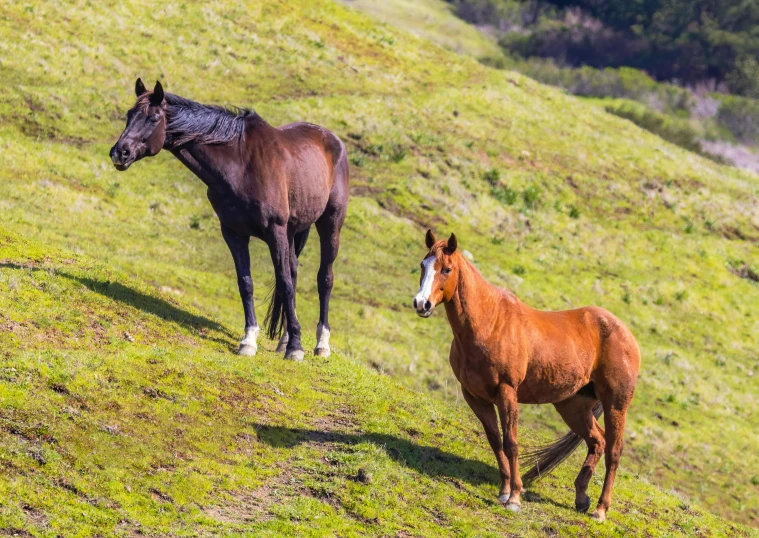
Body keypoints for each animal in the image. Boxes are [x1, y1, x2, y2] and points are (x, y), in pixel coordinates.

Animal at [110, 79, 350, 360]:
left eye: (153, 118)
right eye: (129, 115)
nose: (120, 152)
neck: (241, 166)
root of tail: (332, 140)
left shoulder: (275, 231)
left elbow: (285, 283)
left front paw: (296, 348)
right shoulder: (234, 234)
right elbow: (246, 283)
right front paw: (249, 340)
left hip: (329, 225)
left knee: (324, 279)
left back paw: (321, 344)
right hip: (293, 232)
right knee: (293, 271)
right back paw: (285, 339)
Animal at [416, 229, 640, 520]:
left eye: (446, 269)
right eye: (423, 265)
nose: (421, 304)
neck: (489, 323)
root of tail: (626, 335)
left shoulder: (506, 392)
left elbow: (511, 443)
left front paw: (514, 498)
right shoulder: (475, 396)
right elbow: (495, 440)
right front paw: (504, 490)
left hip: (615, 405)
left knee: (613, 450)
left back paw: (600, 510)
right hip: (573, 406)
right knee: (597, 442)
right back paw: (581, 498)